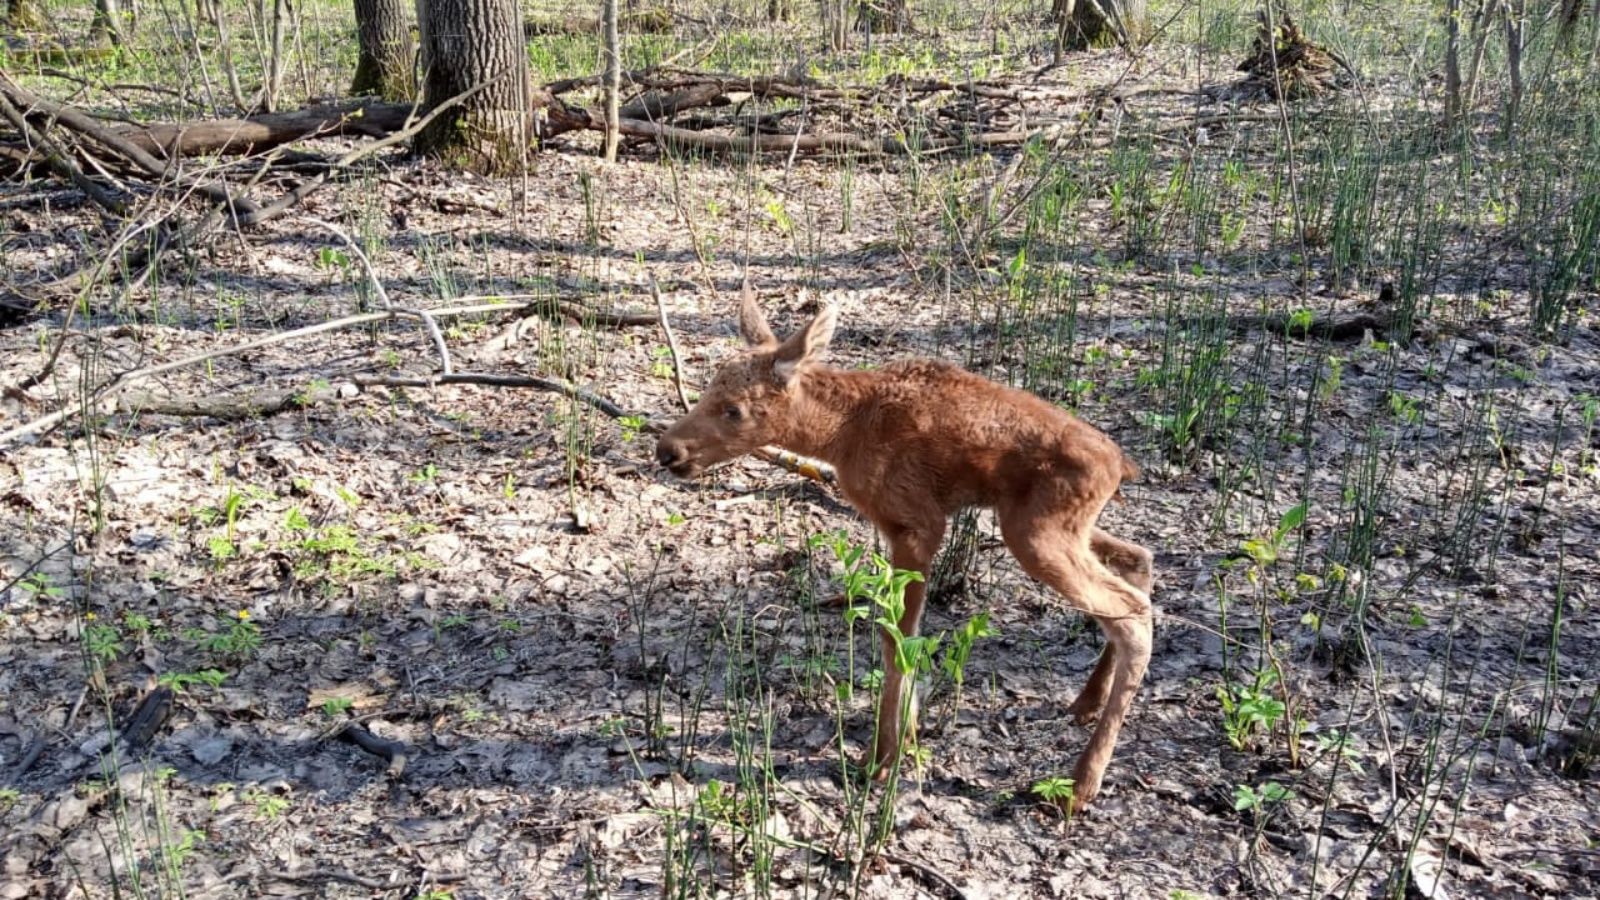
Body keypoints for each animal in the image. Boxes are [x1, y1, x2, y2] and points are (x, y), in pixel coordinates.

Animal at [656, 291, 1158, 810]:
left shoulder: (918, 523)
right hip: (1056, 525)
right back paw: (1086, 702)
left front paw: (882, 758)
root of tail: (1123, 465)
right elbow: (903, 635)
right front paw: (908, 737)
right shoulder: (901, 526)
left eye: (733, 409)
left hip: (1037, 534)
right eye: (707, 390)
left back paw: (1080, 783)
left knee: (1134, 614)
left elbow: (897, 641)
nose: (667, 450)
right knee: (1139, 560)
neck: (839, 435)